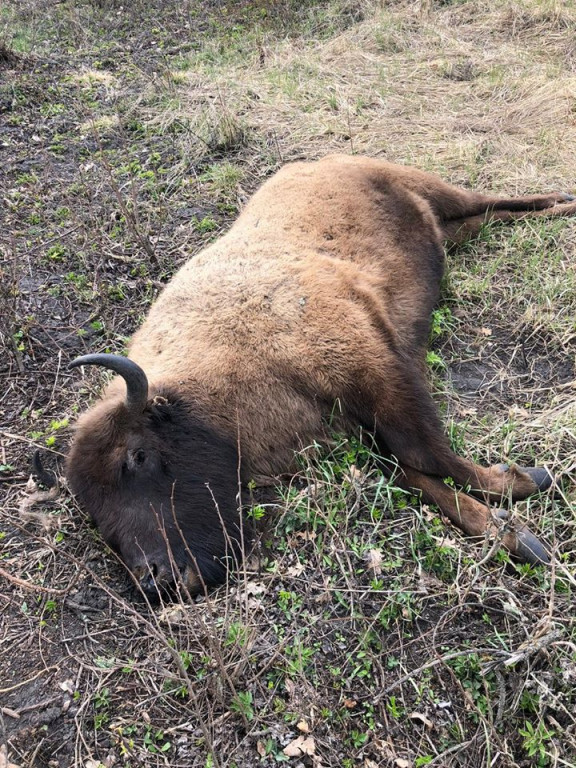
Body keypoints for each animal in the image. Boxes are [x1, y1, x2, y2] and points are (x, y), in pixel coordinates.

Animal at [65, 156, 572, 596]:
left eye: (138, 456)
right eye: (92, 508)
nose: (156, 580)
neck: (208, 369)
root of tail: (319, 162)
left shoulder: (376, 372)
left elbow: (430, 454)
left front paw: (527, 481)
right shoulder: (356, 423)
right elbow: (412, 471)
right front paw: (510, 533)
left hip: (435, 189)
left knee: (495, 198)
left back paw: (564, 201)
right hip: (446, 226)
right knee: (487, 215)